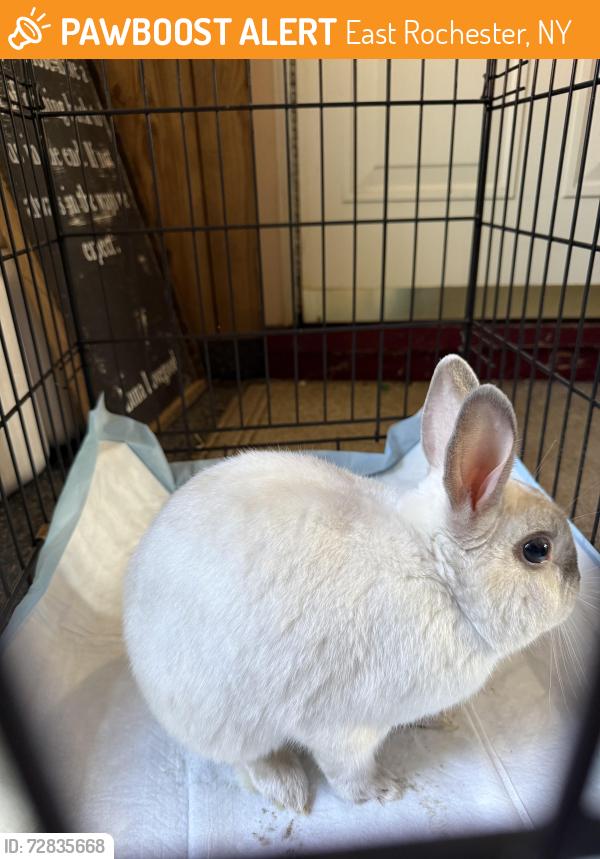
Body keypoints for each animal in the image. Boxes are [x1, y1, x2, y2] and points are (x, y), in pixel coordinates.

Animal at [123, 354, 580, 812]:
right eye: (536, 550)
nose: (578, 585)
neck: (439, 575)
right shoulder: (345, 725)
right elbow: (347, 770)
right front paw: (381, 790)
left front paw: (439, 719)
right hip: (230, 722)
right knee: (249, 761)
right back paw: (288, 789)